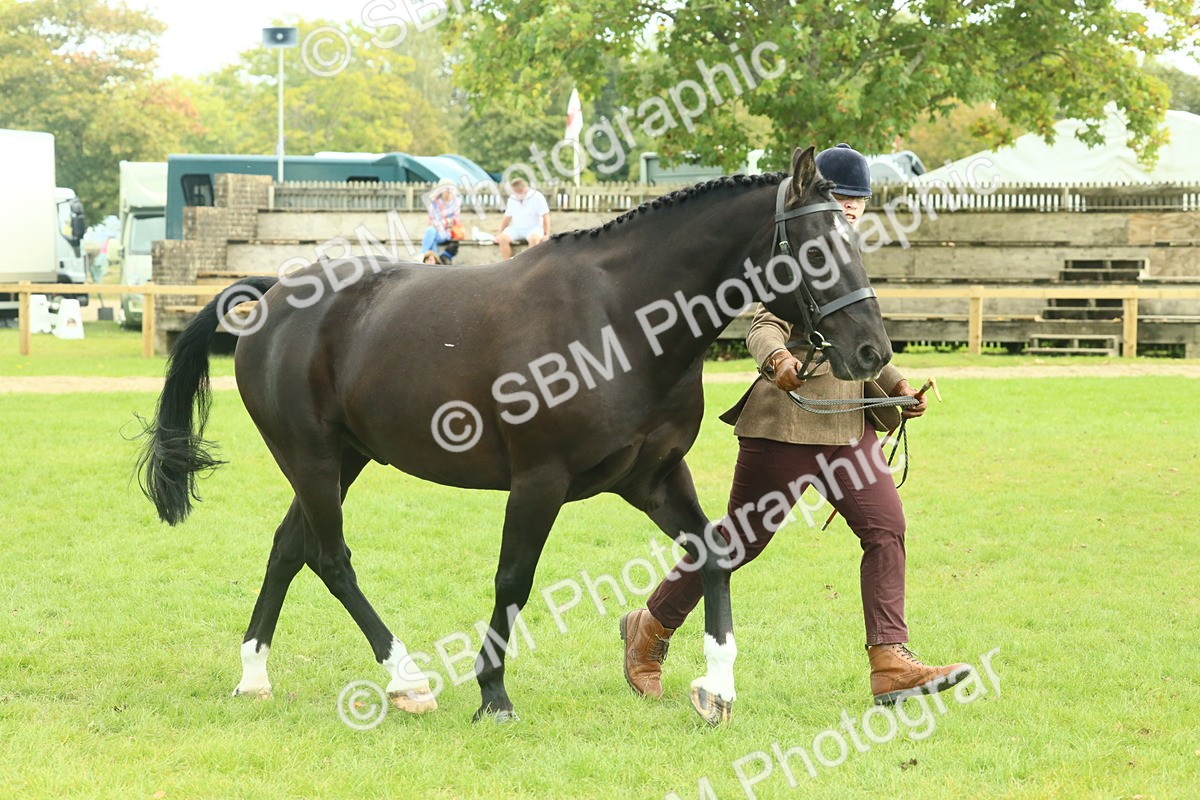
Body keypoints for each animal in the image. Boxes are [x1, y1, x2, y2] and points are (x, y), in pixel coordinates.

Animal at [137, 146, 892, 726]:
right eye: (817, 247)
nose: (872, 353)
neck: (619, 321)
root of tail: (270, 296)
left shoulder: (650, 477)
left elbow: (714, 553)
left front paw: (717, 688)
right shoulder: (539, 482)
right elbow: (513, 578)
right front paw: (493, 693)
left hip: (343, 460)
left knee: (288, 549)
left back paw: (254, 677)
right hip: (314, 460)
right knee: (329, 558)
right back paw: (407, 681)